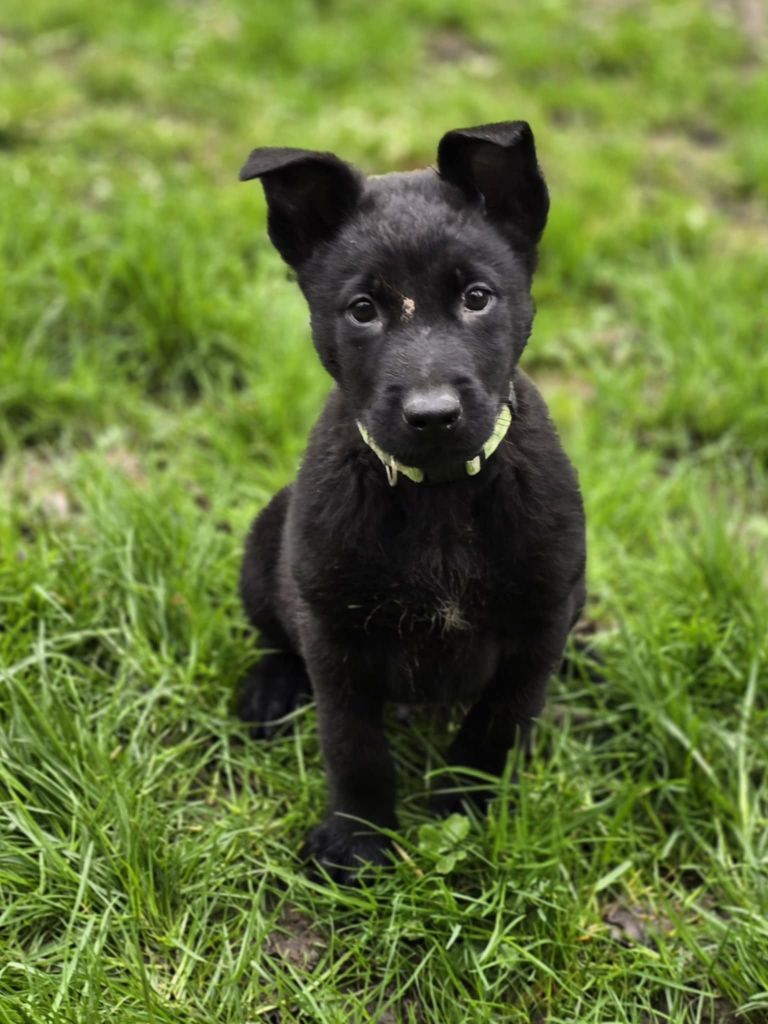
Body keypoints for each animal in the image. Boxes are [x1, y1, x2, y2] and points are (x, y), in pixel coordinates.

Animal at [237, 121, 585, 880]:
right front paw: (358, 842)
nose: (432, 415)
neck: (442, 498)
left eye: (477, 297)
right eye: (363, 310)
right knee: (276, 635)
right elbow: (354, 745)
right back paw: (272, 688)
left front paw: (466, 808)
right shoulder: (334, 632)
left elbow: (498, 723)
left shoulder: (541, 617)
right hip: (264, 545)